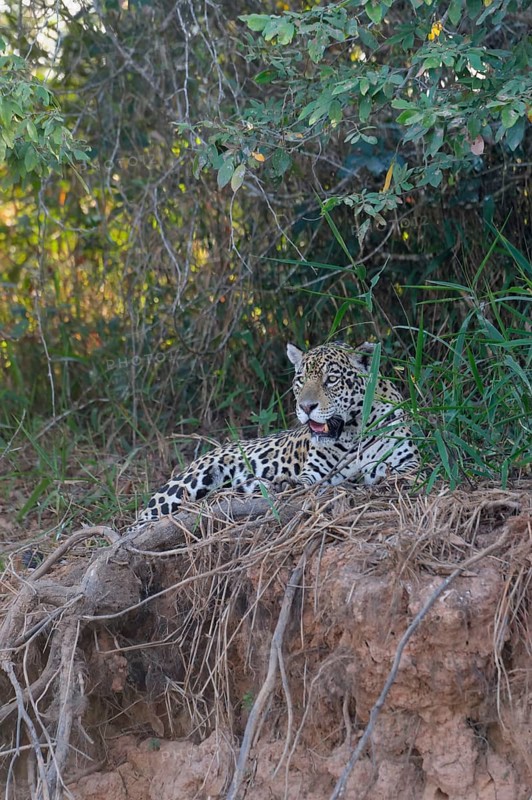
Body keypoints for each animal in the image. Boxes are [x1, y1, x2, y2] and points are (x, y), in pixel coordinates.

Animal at [133, 340, 421, 525]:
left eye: (331, 380)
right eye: (301, 380)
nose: (306, 407)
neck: (352, 432)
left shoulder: (409, 462)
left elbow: (398, 473)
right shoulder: (315, 474)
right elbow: (305, 484)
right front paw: (283, 484)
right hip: (187, 482)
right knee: (141, 519)